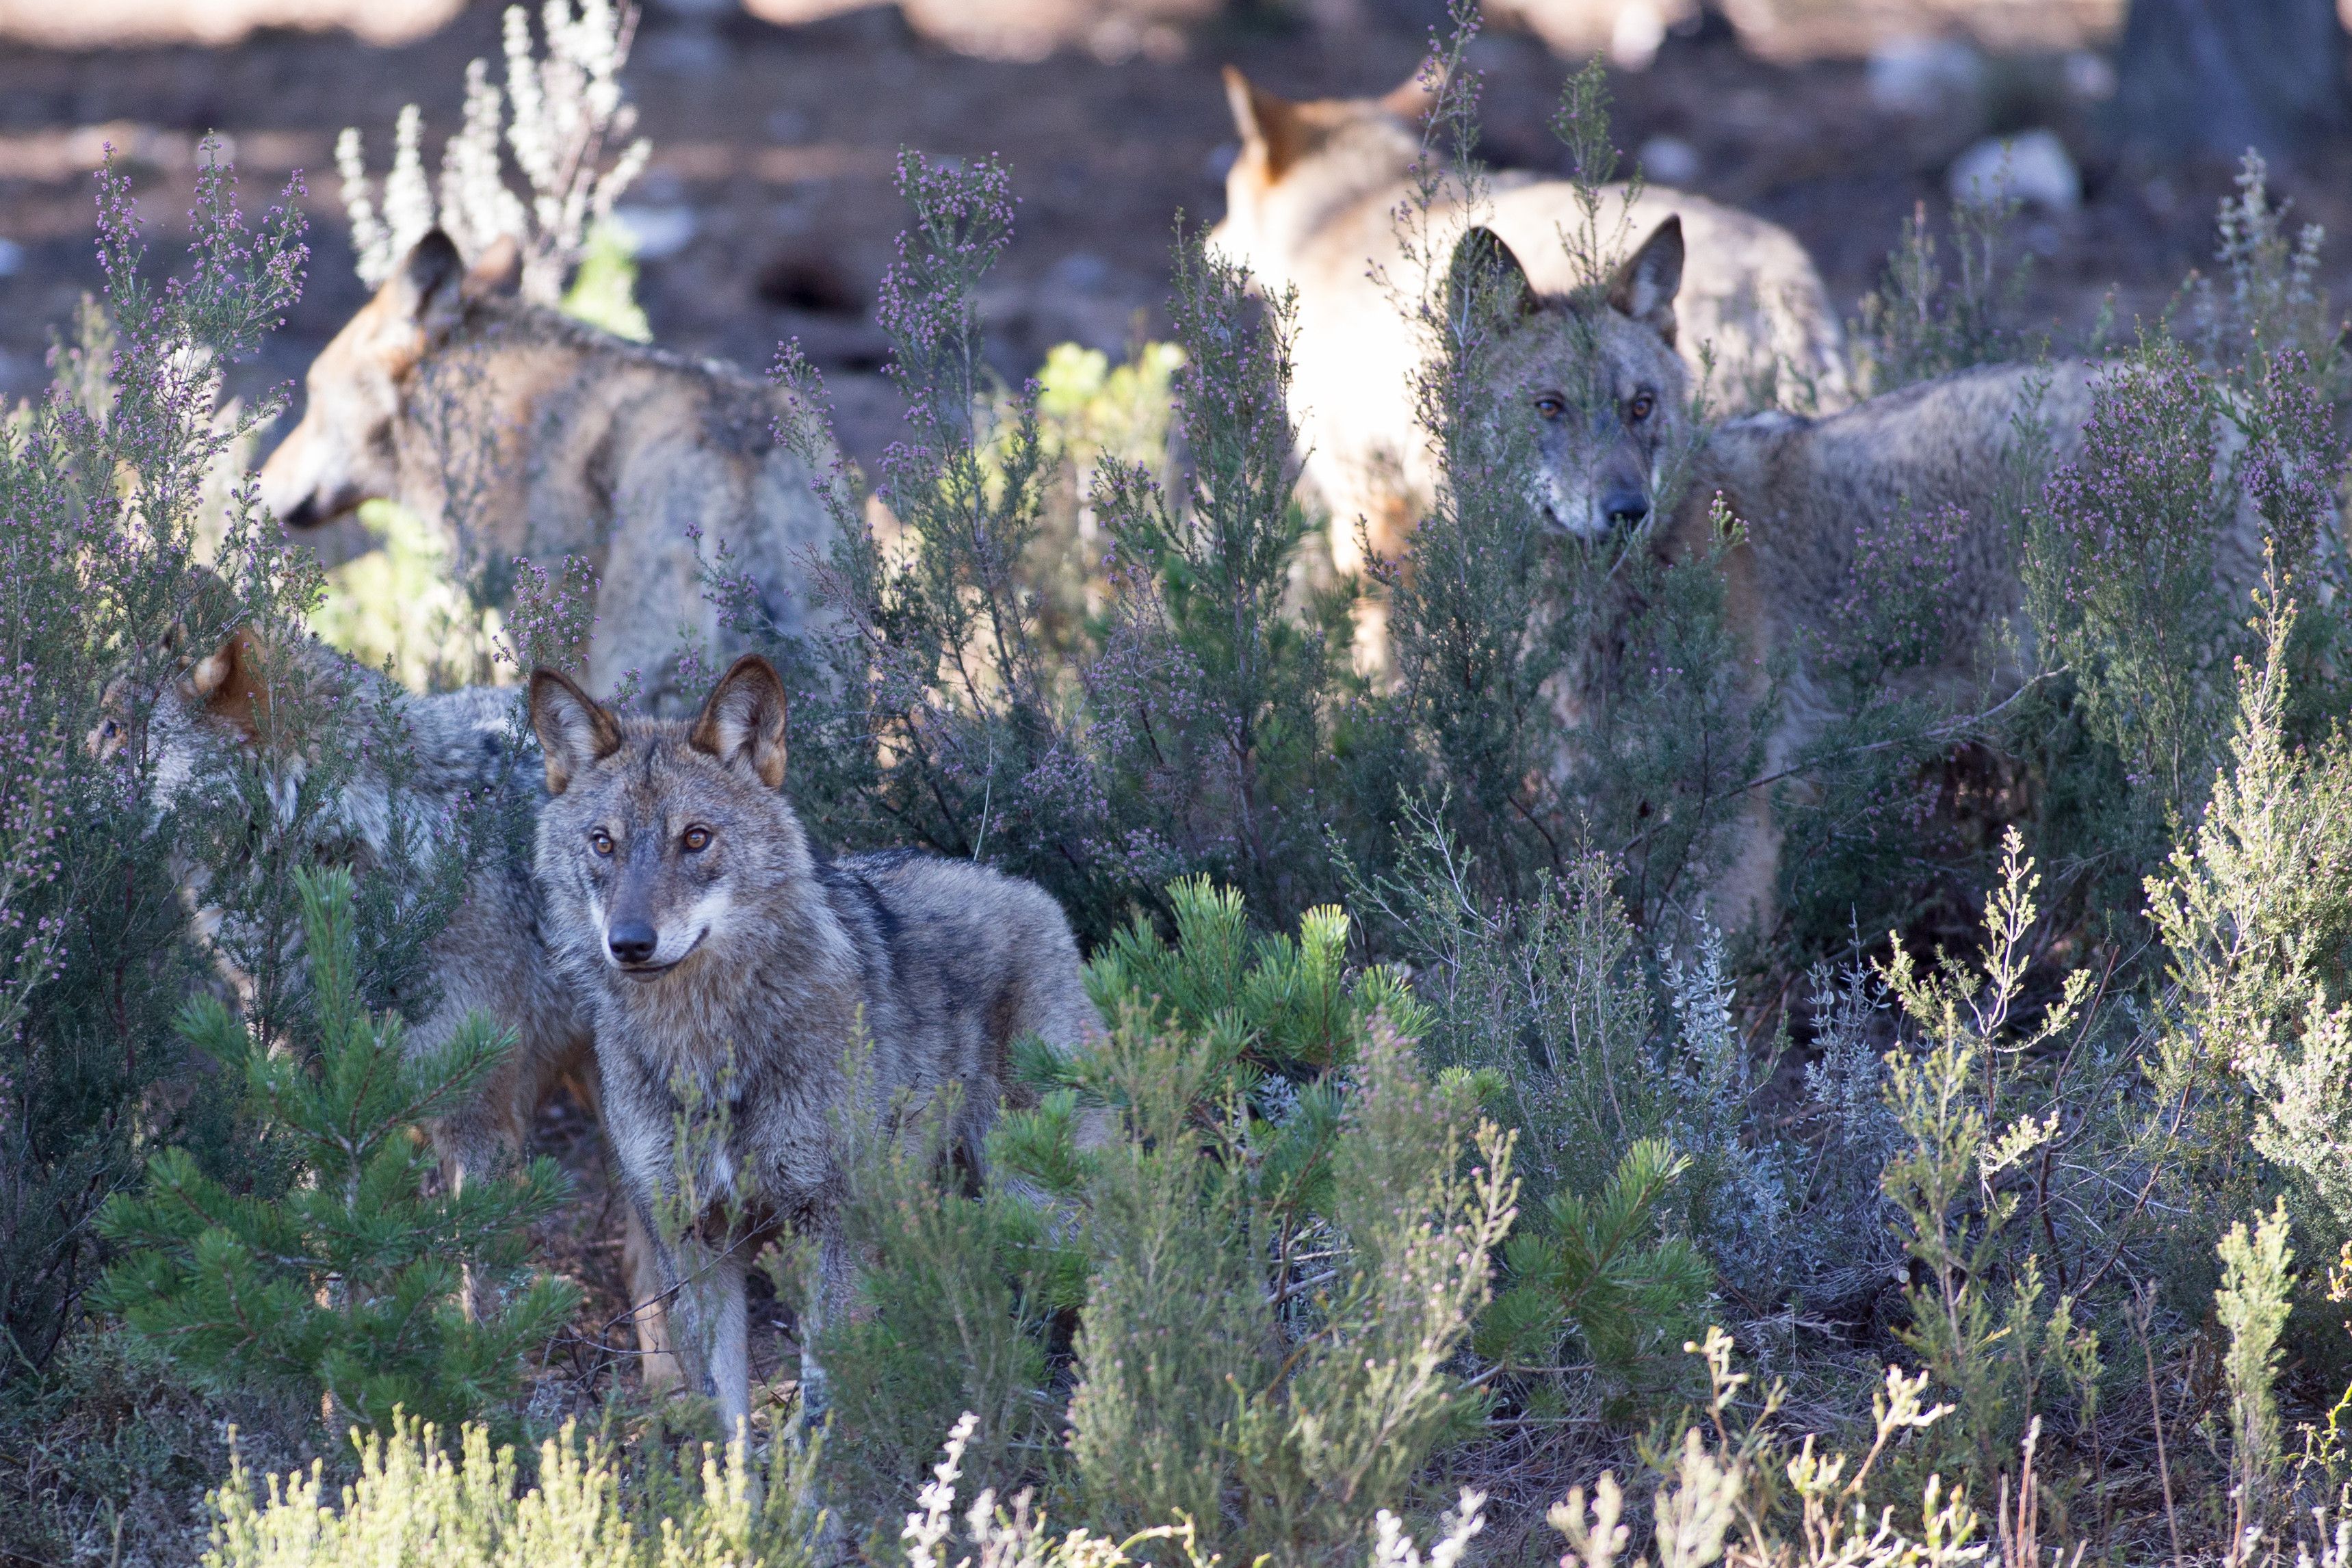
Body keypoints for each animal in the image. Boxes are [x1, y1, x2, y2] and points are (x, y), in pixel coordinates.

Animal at [529, 649, 1096, 1439]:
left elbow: (823, 1409)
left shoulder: (825, 1229)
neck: (709, 1049)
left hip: (1041, 1203)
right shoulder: (693, 1244)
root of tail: (1025, 887)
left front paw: (811, 1477)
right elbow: (726, 1426)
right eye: (602, 843)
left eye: (696, 838)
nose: (630, 943)